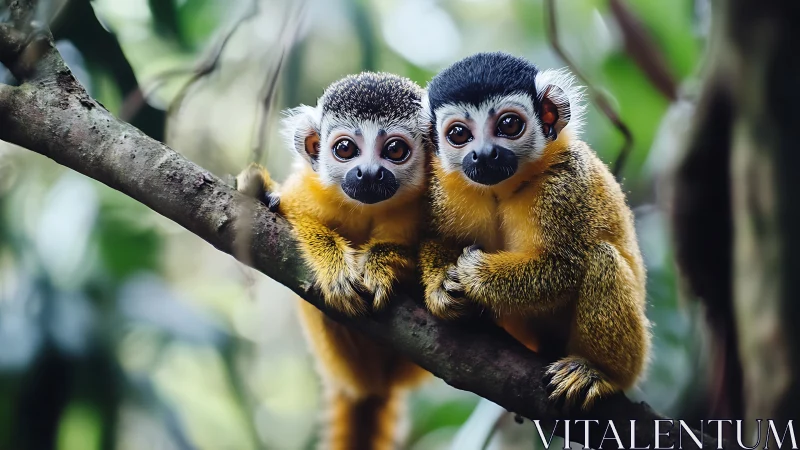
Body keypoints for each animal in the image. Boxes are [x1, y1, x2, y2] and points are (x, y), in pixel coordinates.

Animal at [236, 72, 430, 450]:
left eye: (394, 150)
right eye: (345, 149)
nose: (369, 174)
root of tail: (373, 385)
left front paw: (383, 265)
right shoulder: (305, 191)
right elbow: (298, 219)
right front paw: (334, 268)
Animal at [417, 52, 651, 410]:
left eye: (509, 125)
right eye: (458, 133)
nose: (484, 154)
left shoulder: (565, 182)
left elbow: (565, 267)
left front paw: (475, 274)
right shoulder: (442, 185)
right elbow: (434, 238)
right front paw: (442, 286)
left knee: (602, 258)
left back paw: (599, 372)